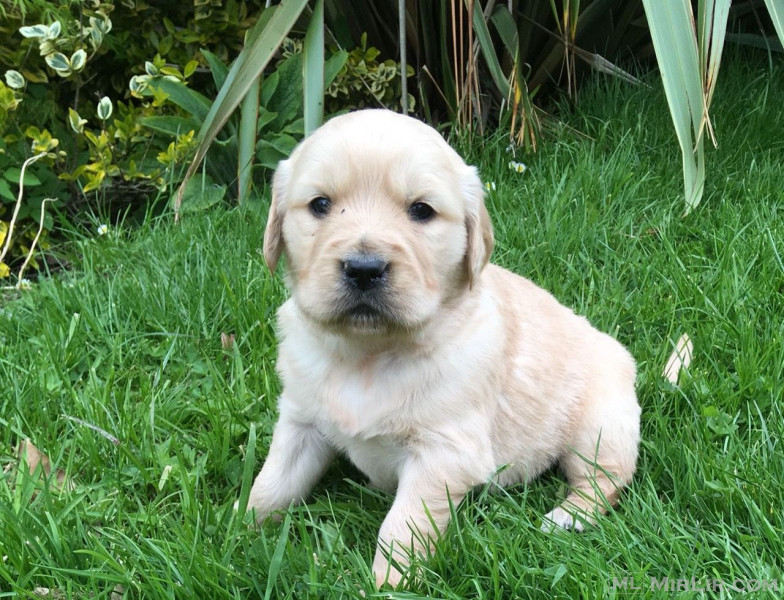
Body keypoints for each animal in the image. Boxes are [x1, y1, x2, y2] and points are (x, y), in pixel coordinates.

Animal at [248, 108, 640, 584]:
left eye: (421, 210)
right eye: (320, 205)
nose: (364, 268)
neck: (368, 354)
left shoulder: (444, 453)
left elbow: (402, 527)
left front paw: (388, 584)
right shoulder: (300, 420)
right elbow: (273, 481)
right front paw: (238, 530)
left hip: (601, 425)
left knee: (605, 479)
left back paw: (566, 517)